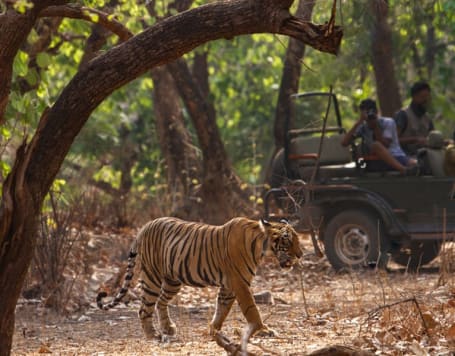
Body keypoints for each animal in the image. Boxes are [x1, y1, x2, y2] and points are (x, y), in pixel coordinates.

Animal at [96, 216, 302, 352]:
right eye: (287, 240)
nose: (300, 255)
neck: (260, 247)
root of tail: (144, 227)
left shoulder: (228, 287)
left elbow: (221, 310)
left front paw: (214, 331)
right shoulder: (240, 284)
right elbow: (252, 310)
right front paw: (263, 330)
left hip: (172, 280)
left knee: (161, 302)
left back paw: (168, 328)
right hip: (152, 276)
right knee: (144, 308)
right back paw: (153, 335)